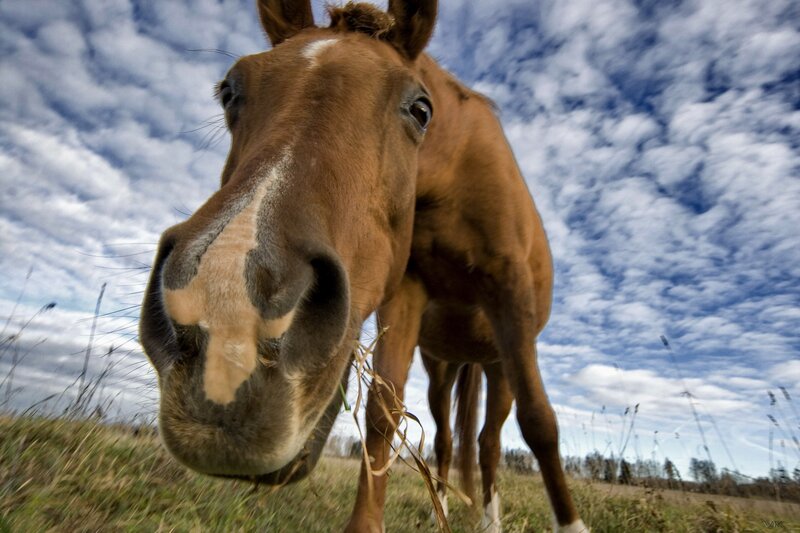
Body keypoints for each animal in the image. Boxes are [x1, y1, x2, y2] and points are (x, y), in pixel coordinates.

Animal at [138, 1, 588, 532]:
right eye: (229, 90)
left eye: (421, 109)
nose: (227, 324)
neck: (454, 173)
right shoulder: (406, 291)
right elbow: (383, 413)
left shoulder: (510, 293)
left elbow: (539, 422)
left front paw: (571, 524)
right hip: (442, 366)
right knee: (447, 437)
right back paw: (442, 503)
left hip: (499, 363)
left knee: (490, 440)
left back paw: (488, 518)